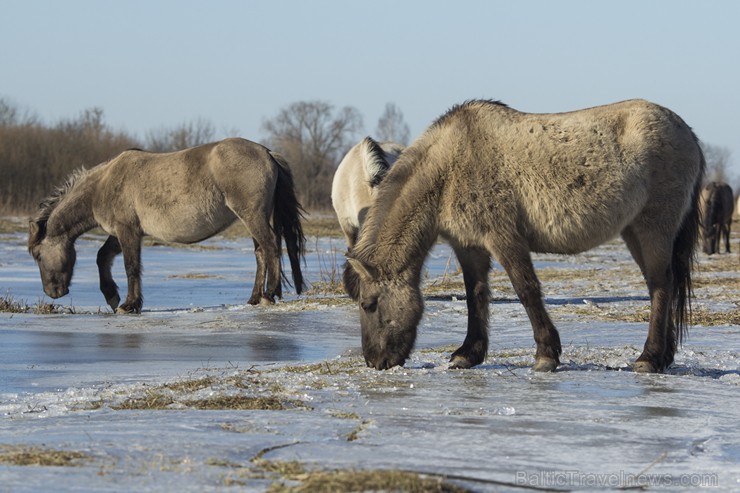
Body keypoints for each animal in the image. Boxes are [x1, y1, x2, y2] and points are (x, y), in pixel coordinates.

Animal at [28, 136, 304, 314]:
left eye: (39, 255)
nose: (52, 292)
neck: (103, 184)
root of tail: (267, 153)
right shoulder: (120, 233)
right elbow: (102, 257)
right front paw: (112, 296)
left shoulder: (127, 231)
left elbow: (131, 266)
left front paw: (129, 305)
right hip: (253, 217)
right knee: (261, 253)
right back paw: (254, 297)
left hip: (253, 216)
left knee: (270, 247)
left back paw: (269, 294)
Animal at [346, 97, 704, 372]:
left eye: (369, 304)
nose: (375, 362)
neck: (450, 165)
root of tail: (689, 134)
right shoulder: (469, 246)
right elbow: (476, 294)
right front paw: (468, 354)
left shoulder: (504, 237)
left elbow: (526, 289)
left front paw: (546, 355)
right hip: (634, 233)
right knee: (664, 286)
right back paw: (664, 357)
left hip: (653, 230)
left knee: (660, 286)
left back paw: (649, 358)